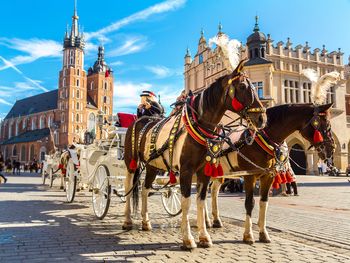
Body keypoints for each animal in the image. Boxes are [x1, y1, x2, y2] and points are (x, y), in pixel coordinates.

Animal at [121, 60, 266, 251]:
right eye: (242, 86)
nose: (262, 118)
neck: (199, 126)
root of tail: (140, 120)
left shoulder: (203, 172)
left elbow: (200, 201)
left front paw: (204, 236)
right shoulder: (186, 171)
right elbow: (186, 202)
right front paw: (188, 239)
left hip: (153, 165)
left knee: (145, 189)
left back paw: (146, 222)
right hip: (131, 162)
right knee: (129, 187)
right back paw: (127, 221)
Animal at [205, 103, 336, 245]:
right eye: (326, 124)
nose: (332, 148)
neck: (260, 140)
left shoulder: (268, 176)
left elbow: (264, 202)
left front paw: (263, 233)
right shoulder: (249, 176)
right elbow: (249, 203)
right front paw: (248, 235)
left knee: (212, 192)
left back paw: (213, 220)